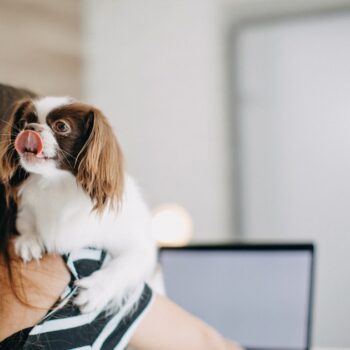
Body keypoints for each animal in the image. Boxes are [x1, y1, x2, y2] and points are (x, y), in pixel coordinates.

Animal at [0, 95, 157, 312]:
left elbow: (123, 266)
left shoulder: (140, 248)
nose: (30, 128)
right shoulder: (28, 210)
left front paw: (95, 291)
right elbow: (25, 223)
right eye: (23, 123)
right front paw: (29, 241)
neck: (56, 183)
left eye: (61, 126)